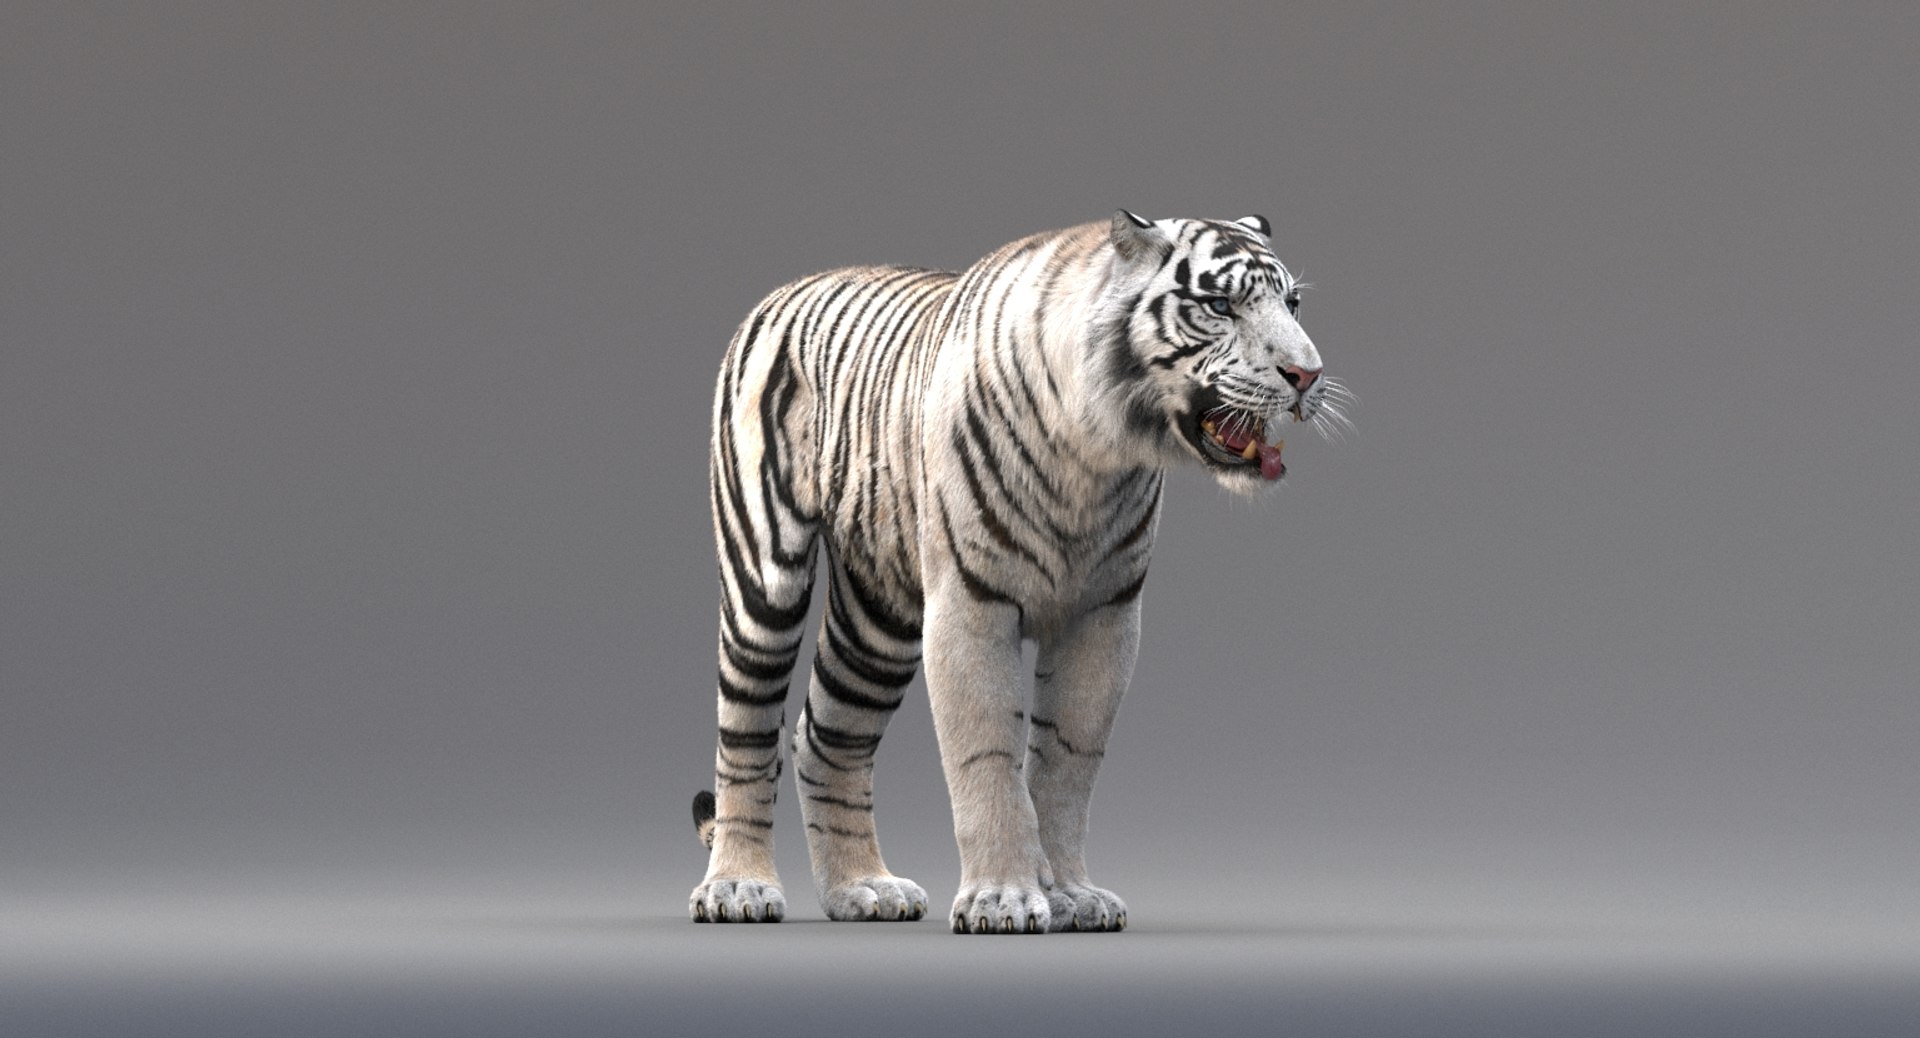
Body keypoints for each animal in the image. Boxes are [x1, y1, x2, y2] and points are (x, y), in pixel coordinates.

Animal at [690, 210, 1346, 934]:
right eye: (1220, 306)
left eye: (1292, 304)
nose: (1308, 375)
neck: (1098, 456)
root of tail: (786, 290)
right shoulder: (971, 606)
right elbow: (988, 758)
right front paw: (1001, 897)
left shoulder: (1104, 617)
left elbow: (1067, 763)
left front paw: (1072, 896)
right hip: (765, 578)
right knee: (747, 732)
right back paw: (738, 888)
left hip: (878, 618)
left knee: (824, 734)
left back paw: (864, 888)